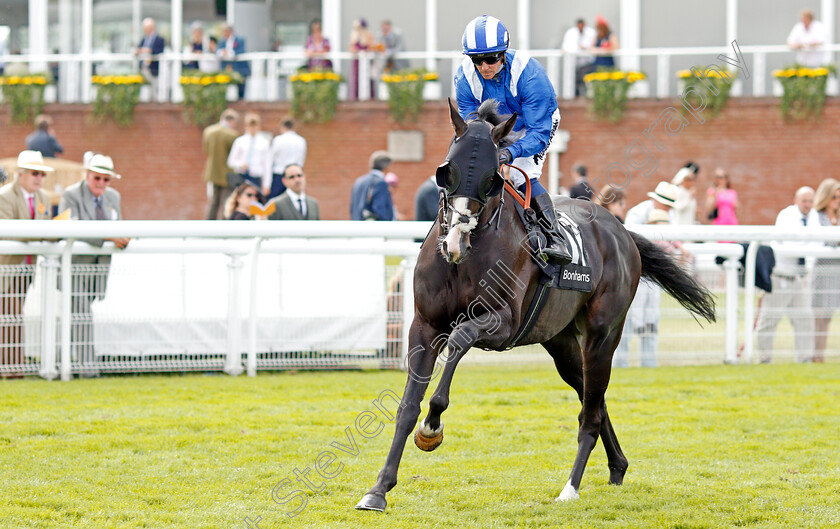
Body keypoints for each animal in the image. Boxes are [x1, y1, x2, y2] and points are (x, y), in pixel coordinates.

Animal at [354, 99, 716, 512]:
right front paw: (378, 489)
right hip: (561, 343)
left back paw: (571, 487)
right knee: (594, 398)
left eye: (492, 178)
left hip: (602, 335)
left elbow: (460, 339)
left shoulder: (503, 324)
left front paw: (433, 426)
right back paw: (618, 467)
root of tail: (621, 230)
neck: (468, 254)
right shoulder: (424, 326)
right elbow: (406, 406)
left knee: (590, 412)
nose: (454, 242)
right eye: (447, 171)